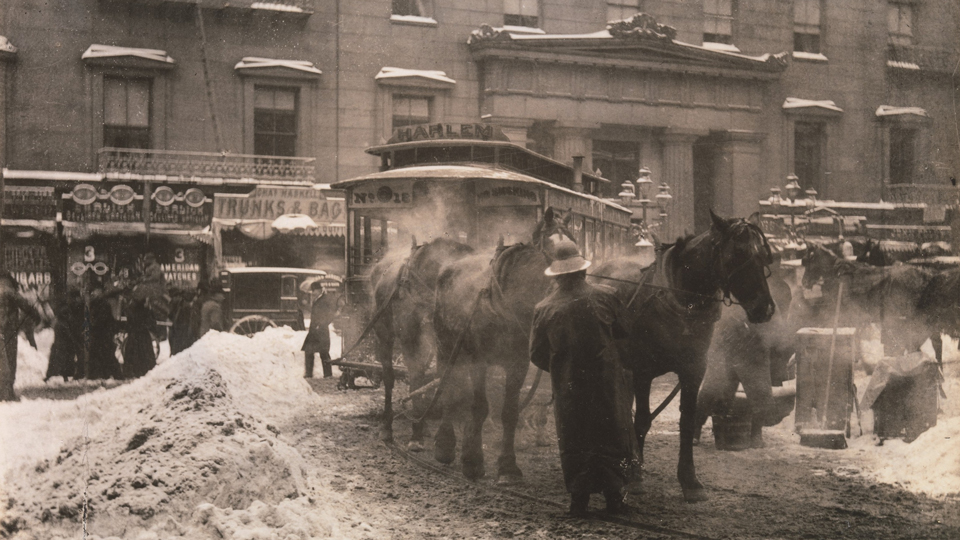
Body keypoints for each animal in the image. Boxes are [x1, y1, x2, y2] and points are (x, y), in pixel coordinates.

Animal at [370, 236, 474, 448]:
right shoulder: (410, 338)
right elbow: (416, 377)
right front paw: (416, 435)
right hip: (384, 333)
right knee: (389, 376)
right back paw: (388, 426)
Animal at [432, 208, 572, 486]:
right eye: (552, 249)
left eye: (576, 245)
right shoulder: (479, 361)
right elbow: (479, 407)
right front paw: (473, 462)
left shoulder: (517, 363)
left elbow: (509, 412)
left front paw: (507, 467)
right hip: (446, 347)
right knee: (448, 388)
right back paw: (445, 444)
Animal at [588, 211, 776, 502]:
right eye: (738, 252)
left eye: (764, 255)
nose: (765, 308)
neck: (680, 301)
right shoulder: (643, 371)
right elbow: (642, 420)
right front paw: (636, 476)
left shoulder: (693, 370)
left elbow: (687, 420)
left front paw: (689, 480)